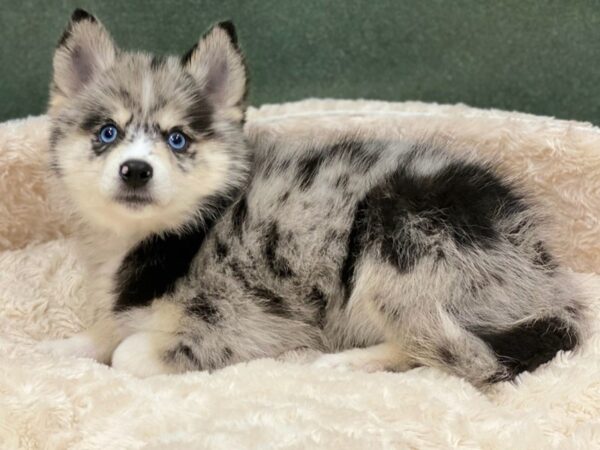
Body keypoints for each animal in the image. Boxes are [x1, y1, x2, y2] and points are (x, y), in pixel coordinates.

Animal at [42, 8, 584, 388]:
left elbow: (129, 351)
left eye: (177, 139)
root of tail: (545, 276)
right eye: (107, 132)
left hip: (400, 242)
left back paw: (349, 362)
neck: (163, 236)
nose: (136, 170)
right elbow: (103, 334)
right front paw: (56, 349)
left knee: (436, 345)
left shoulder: (245, 324)